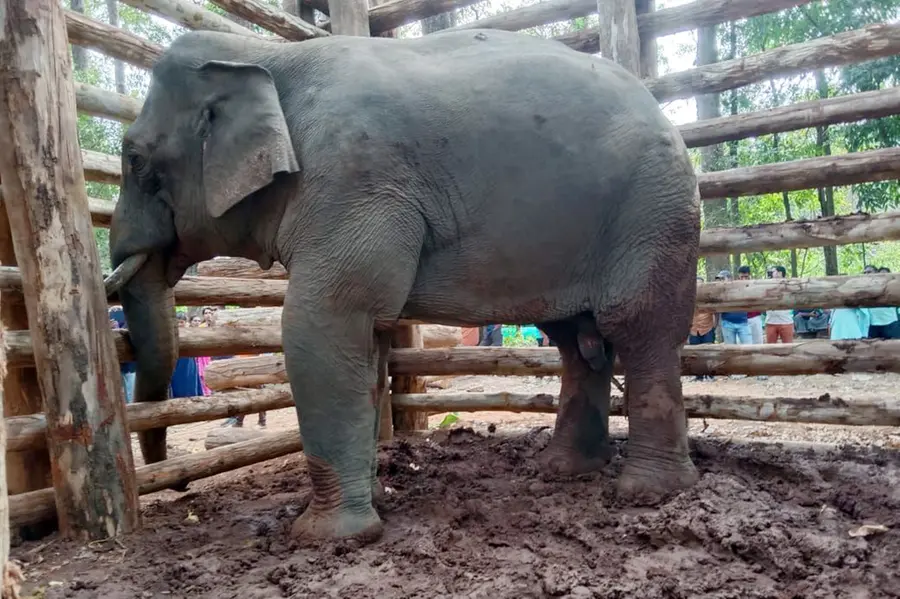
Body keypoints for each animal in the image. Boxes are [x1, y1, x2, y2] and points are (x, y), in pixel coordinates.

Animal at [108, 27, 701, 545]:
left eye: (135, 159)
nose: (178, 482)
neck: (264, 54)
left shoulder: (352, 180)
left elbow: (321, 325)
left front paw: (325, 539)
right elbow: (367, 341)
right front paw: (374, 502)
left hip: (653, 210)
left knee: (636, 327)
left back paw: (646, 494)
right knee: (577, 342)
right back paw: (565, 471)